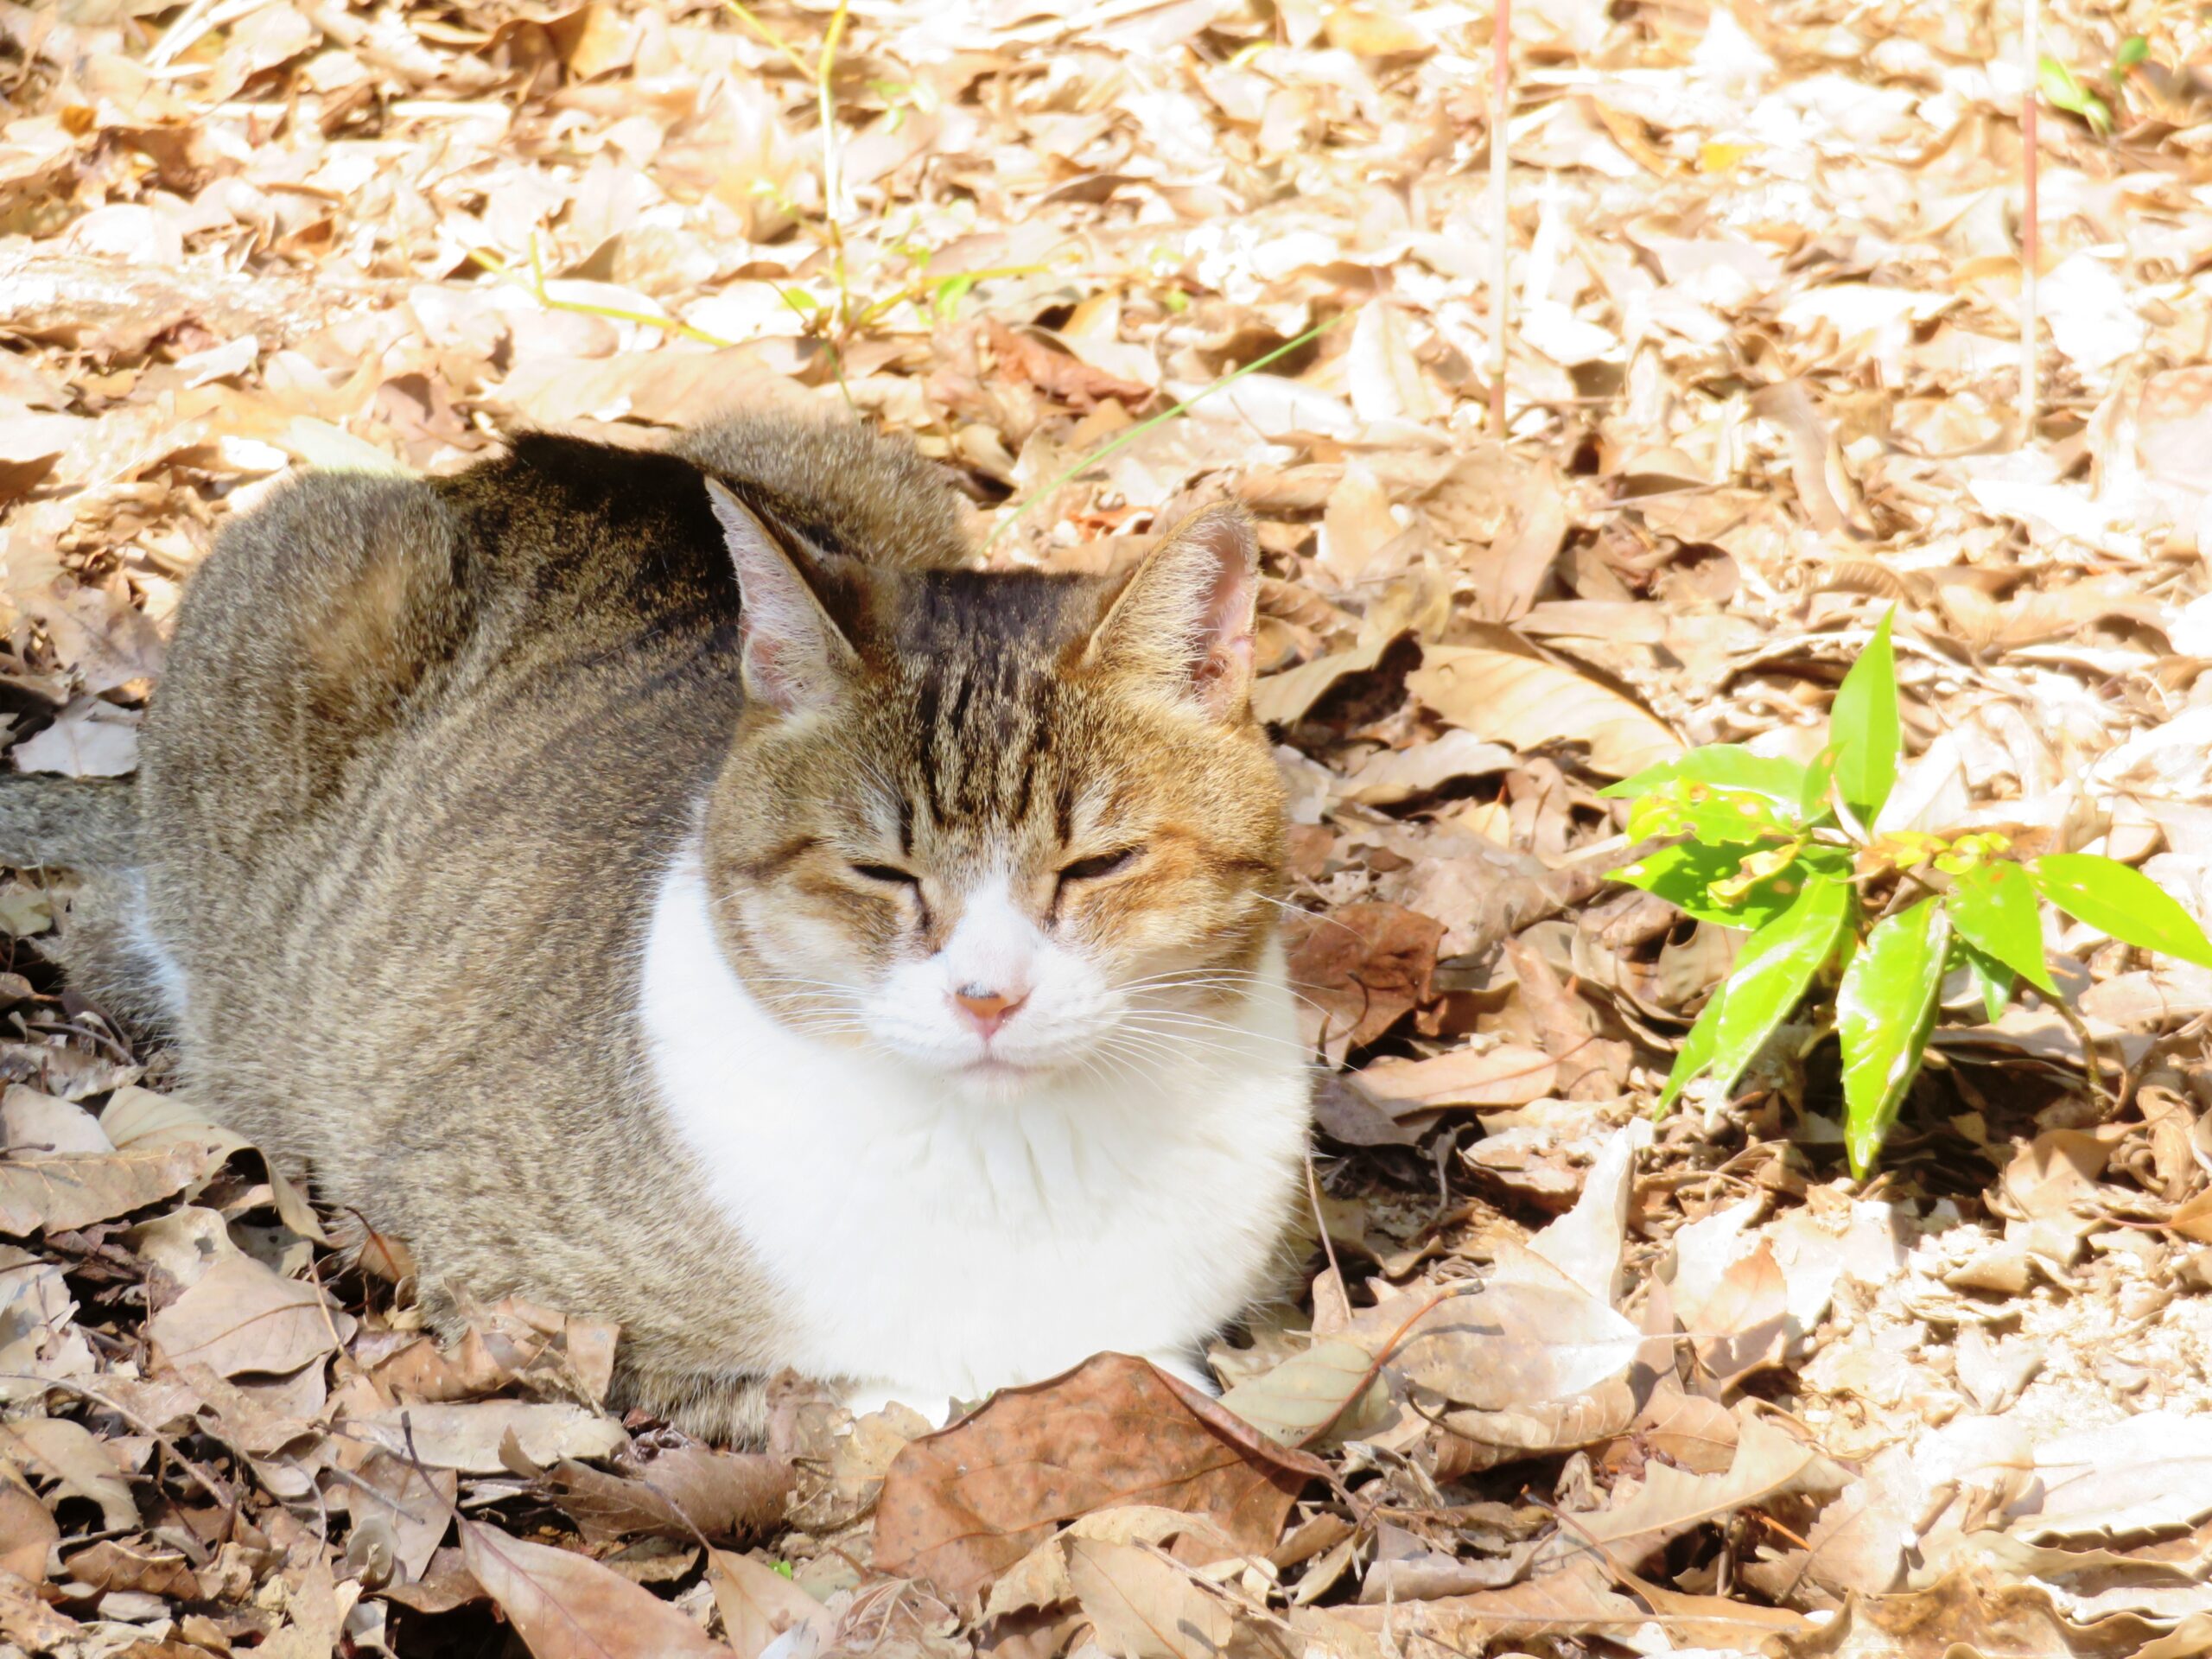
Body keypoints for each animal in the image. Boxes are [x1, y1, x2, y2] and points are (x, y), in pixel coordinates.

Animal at [0, 417, 1309, 1442]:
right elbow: (854, 1387)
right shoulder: (495, 1266)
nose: (988, 996)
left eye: (1098, 865)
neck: (1014, 1159)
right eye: (879, 872)